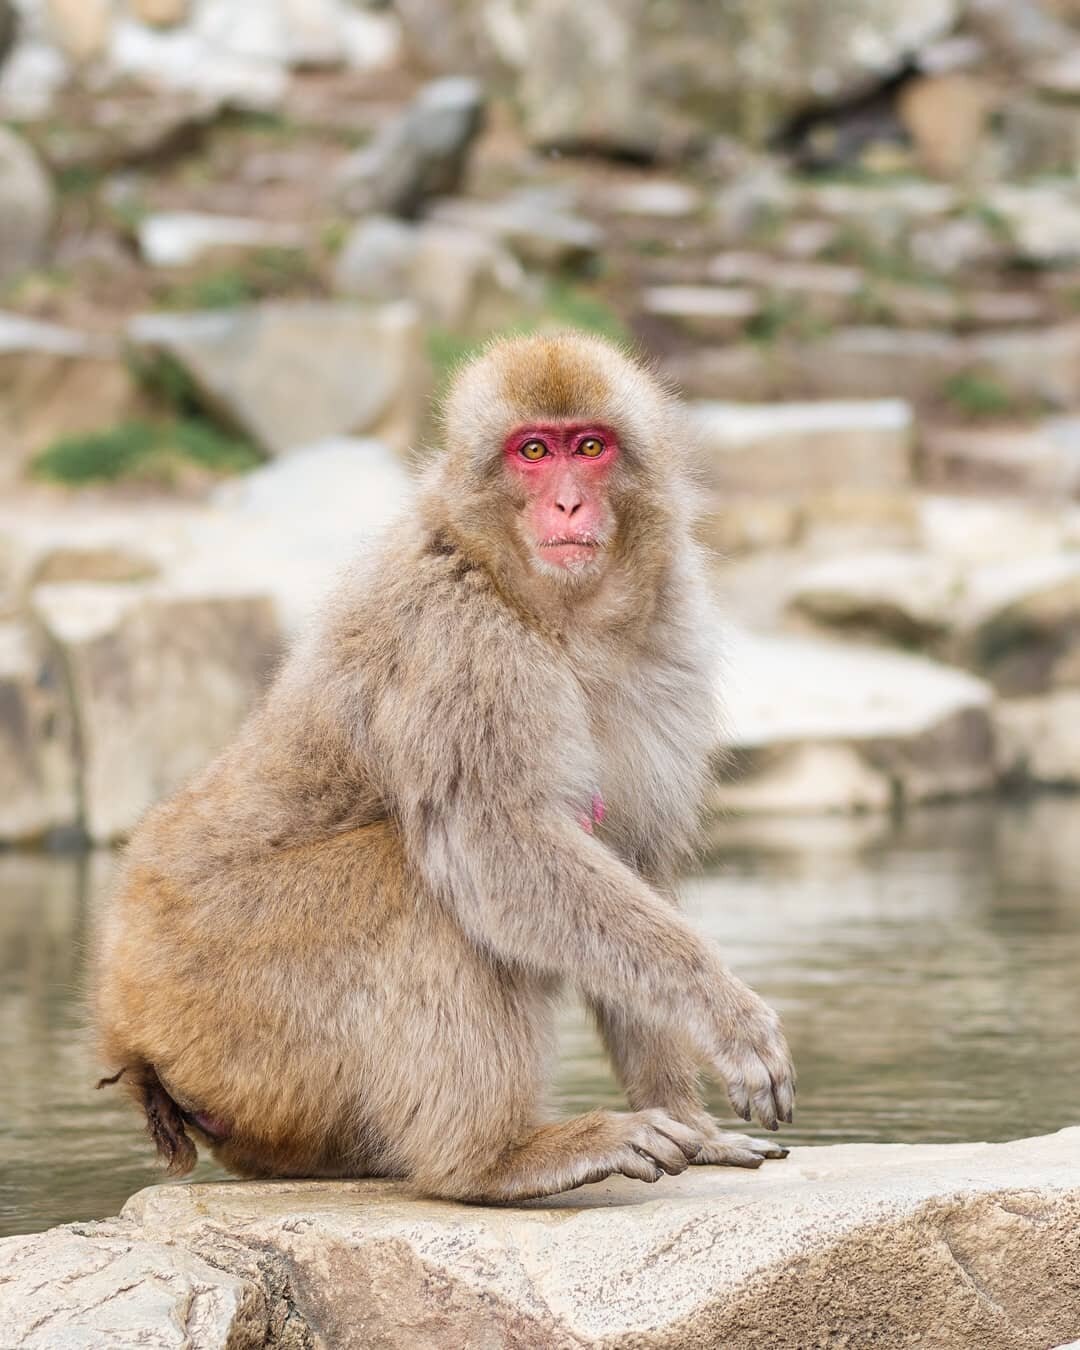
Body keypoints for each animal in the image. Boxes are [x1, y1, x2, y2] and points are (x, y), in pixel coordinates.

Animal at [97, 332, 793, 1198]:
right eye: (533, 452)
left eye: (589, 448)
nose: (569, 505)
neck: (546, 611)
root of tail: (124, 1022)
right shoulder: (457, 640)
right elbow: (499, 848)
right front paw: (724, 1010)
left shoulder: (672, 637)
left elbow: (630, 862)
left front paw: (690, 1121)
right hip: (220, 1009)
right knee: (419, 881)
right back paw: (493, 1162)